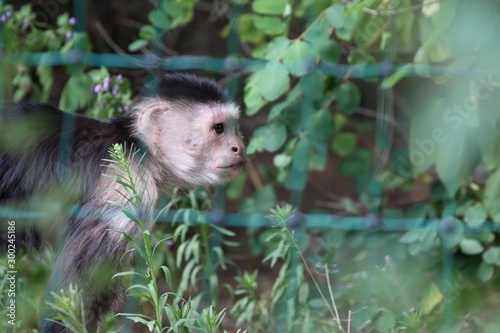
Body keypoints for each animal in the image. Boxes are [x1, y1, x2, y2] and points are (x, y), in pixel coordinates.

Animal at [0, 74, 244, 330]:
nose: (238, 147)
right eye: (218, 129)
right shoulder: (123, 184)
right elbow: (69, 300)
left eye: (233, 127)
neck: (137, 147)